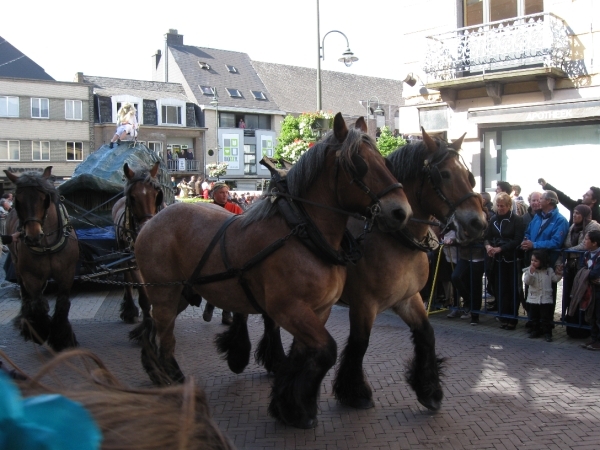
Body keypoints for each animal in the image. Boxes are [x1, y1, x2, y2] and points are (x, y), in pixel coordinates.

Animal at [3, 166, 79, 352]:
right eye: (18, 200)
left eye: (45, 198)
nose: (33, 237)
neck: (47, 245)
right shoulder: (31, 276)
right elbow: (38, 303)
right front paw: (40, 331)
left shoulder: (67, 273)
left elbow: (62, 304)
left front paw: (61, 338)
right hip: (17, 265)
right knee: (25, 295)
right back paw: (25, 320)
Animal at [111, 162, 163, 338]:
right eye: (132, 198)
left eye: (157, 195)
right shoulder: (134, 262)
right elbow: (144, 296)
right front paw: (148, 327)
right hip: (122, 252)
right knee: (126, 277)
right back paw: (129, 310)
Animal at [133, 113, 410, 428]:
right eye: (359, 164)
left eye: (384, 161)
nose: (401, 212)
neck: (303, 232)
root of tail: (151, 221)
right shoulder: (289, 308)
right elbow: (326, 350)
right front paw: (296, 408)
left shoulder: (318, 310)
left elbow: (305, 355)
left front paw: (289, 402)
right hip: (165, 295)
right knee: (165, 340)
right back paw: (174, 382)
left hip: (178, 294)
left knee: (154, 332)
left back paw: (160, 374)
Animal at [252, 128, 488, 414]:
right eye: (443, 174)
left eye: (469, 176)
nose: (478, 223)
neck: (395, 239)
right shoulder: (364, 302)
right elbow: (360, 342)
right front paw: (354, 391)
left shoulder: (408, 297)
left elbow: (426, 333)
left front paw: (429, 389)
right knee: (272, 321)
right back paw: (275, 360)